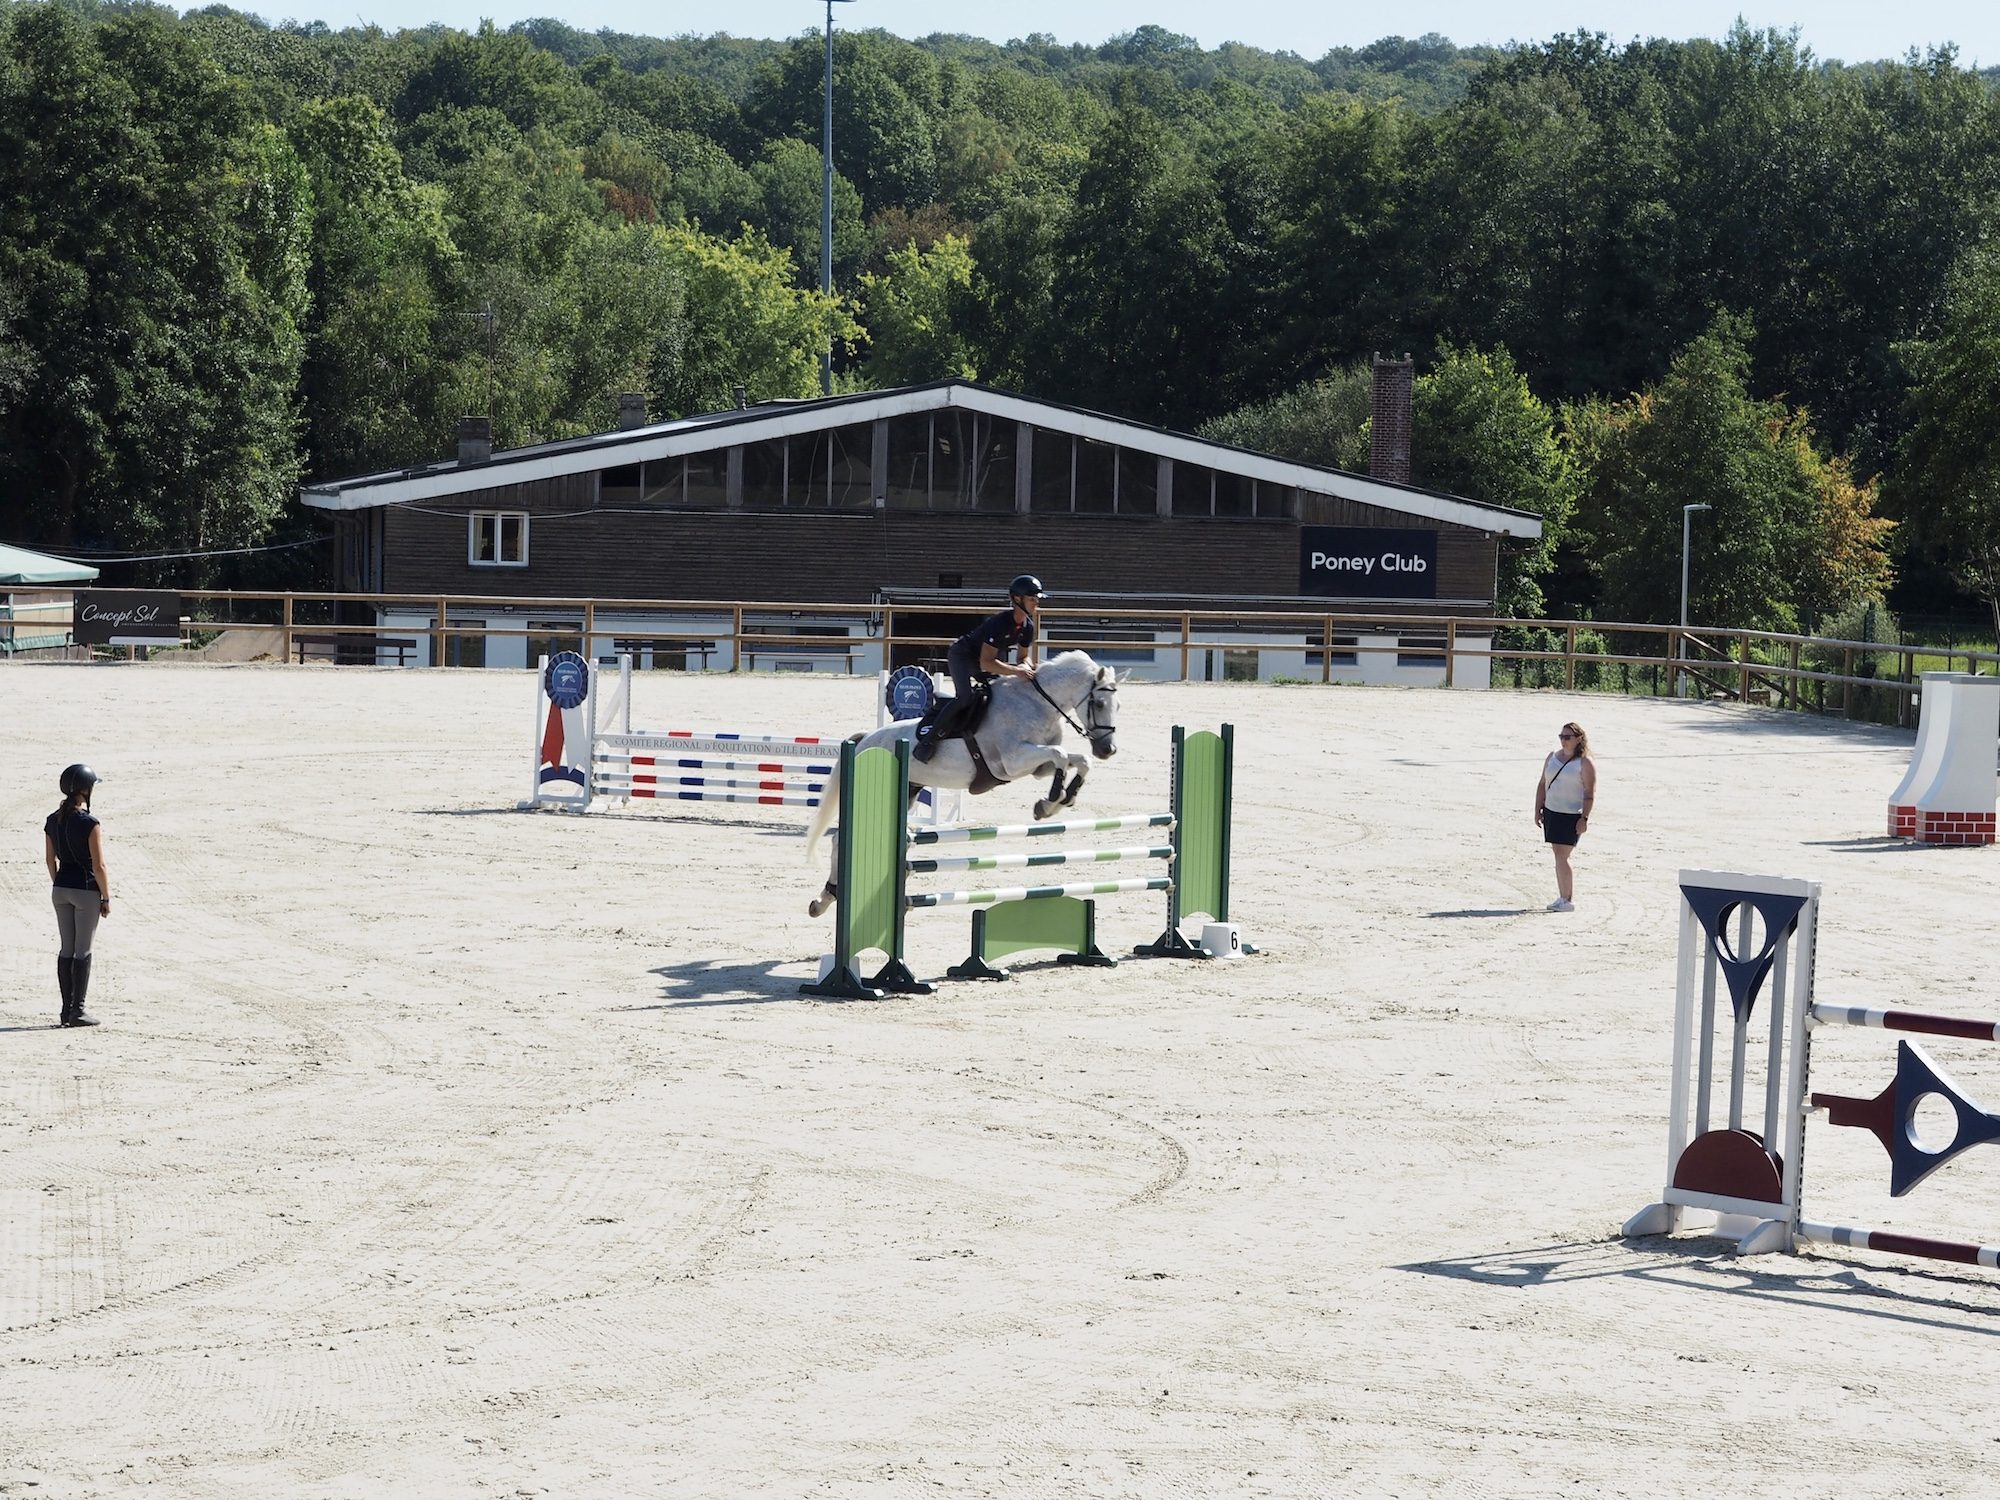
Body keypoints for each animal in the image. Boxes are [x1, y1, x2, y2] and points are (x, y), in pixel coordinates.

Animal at [812, 652, 1128, 924]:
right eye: (1099, 704)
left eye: (1118, 706)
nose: (1108, 750)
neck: (1037, 703)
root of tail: (863, 741)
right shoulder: (1013, 762)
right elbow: (1061, 755)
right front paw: (1050, 802)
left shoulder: (1038, 767)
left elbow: (1078, 760)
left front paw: (1059, 801)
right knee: (839, 839)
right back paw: (825, 899)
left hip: (908, 791)